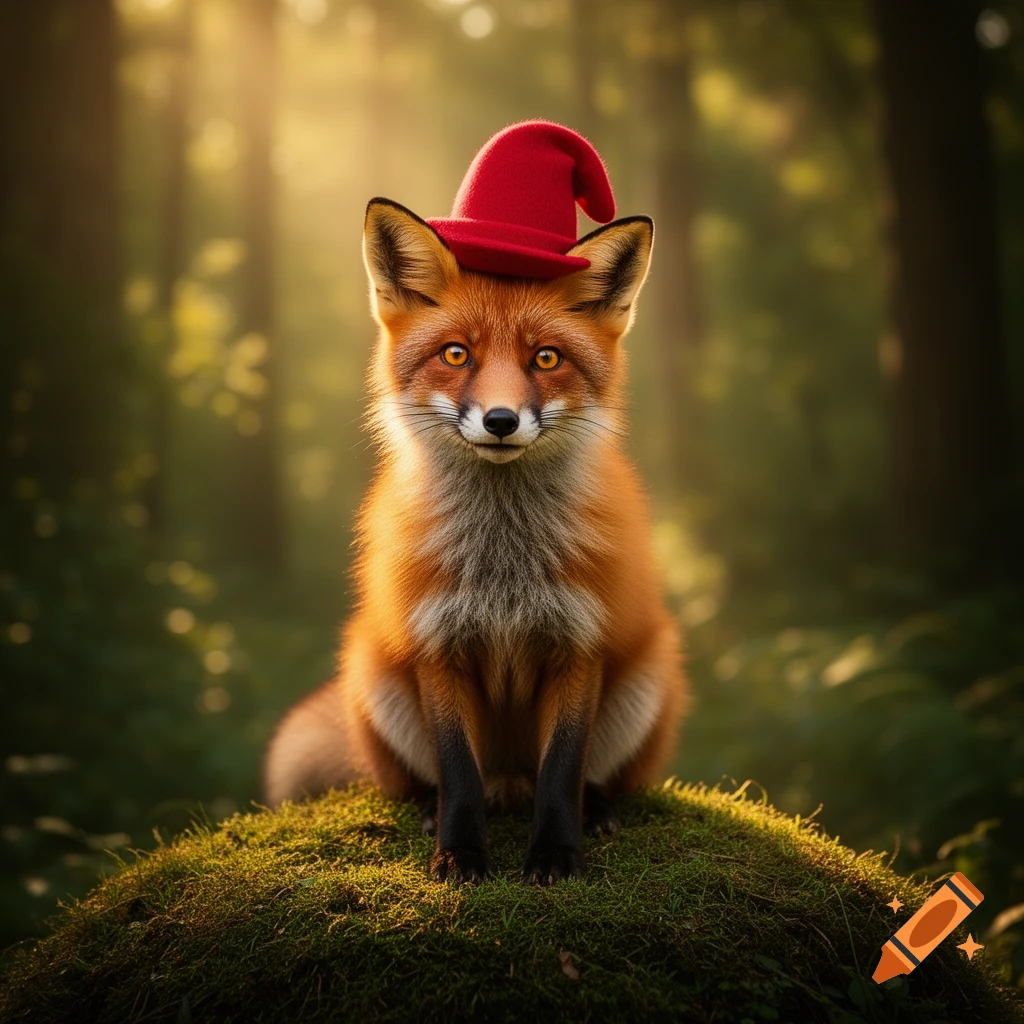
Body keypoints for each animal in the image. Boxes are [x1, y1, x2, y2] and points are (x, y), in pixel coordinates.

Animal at [263, 197, 687, 885]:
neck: (503, 564)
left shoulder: (580, 644)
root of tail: (508, 782)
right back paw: (429, 810)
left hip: (648, 676)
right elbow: (457, 771)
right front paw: (460, 854)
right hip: (374, 672)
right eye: (457, 355)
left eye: (546, 359)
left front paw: (556, 855)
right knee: (429, 782)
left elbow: (562, 771)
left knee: (585, 778)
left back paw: (595, 807)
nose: (501, 420)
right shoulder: (437, 644)